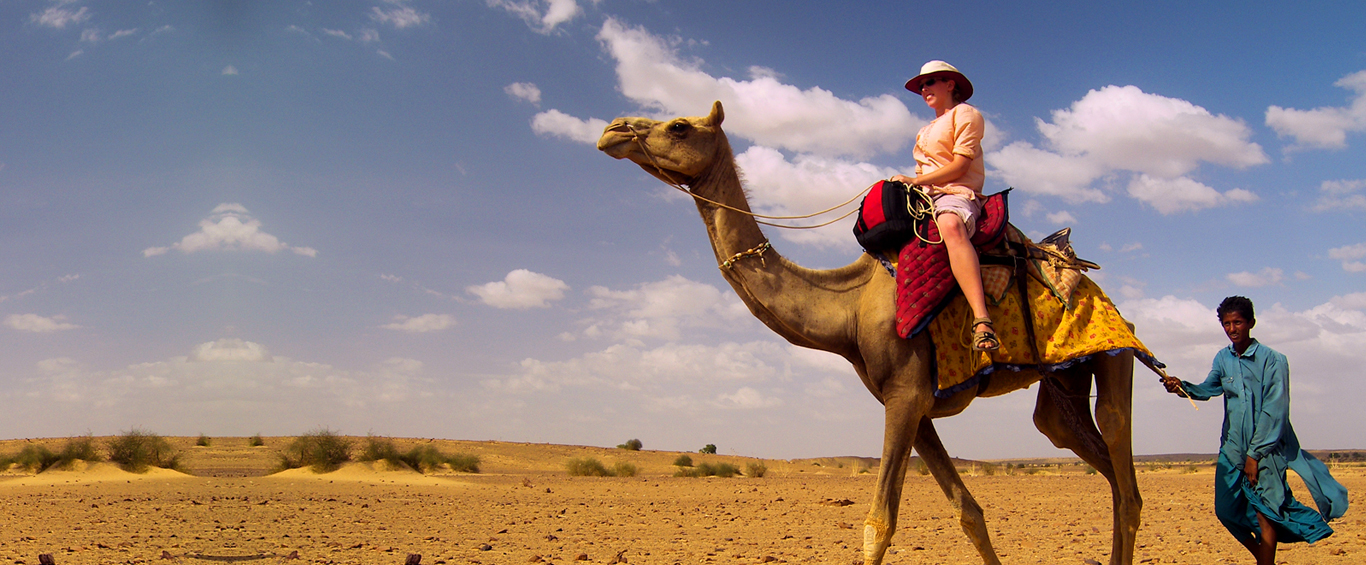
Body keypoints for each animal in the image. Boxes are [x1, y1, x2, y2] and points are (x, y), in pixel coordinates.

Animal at [598, 102, 1141, 565]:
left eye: (679, 127)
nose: (612, 130)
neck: (848, 310)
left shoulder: (905, 393)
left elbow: (878, 523)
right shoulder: (911, 401)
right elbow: (968, 512)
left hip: (1114, 355)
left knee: (1124, 469)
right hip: (1061, 386)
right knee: (1094, 462)